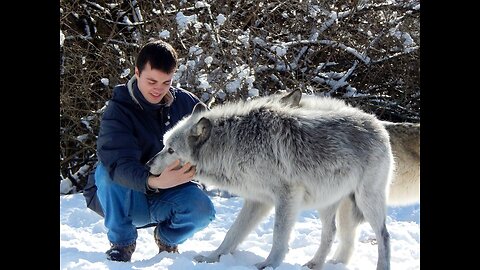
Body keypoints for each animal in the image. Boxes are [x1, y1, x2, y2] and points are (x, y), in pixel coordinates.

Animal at [147, 91, 394, 270]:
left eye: (170, 150)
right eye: (164, 145)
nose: (148, 164)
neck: (233, 145)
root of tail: (377, 124)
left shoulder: (286, 196)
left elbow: (278, 236)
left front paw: (268, 264)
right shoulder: (258, 201)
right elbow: (232, 233)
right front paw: (212, 257)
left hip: (366, 200)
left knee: (384, 235)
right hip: (328, 202)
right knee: (331, 232)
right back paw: (315, 264)